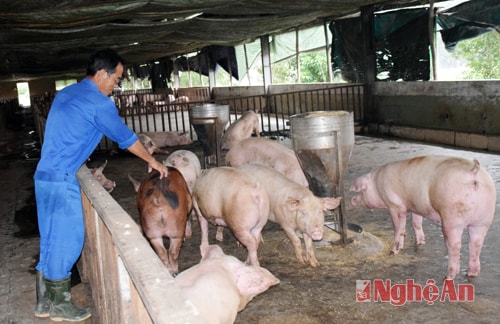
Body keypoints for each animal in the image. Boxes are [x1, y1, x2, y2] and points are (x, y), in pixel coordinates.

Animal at [350, 156, 498, 280]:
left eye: (361, 191)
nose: (352, 200)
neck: (376, 184)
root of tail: (473, 171)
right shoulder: (416, 207)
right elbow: (415, 223)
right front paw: (420, 242)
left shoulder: (395, 206)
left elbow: (398, 227)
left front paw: (394, 251)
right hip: (484, 220)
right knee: (476, 243)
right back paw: (472, 273)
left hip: (452, 218)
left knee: (455, 246)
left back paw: (448, 276)